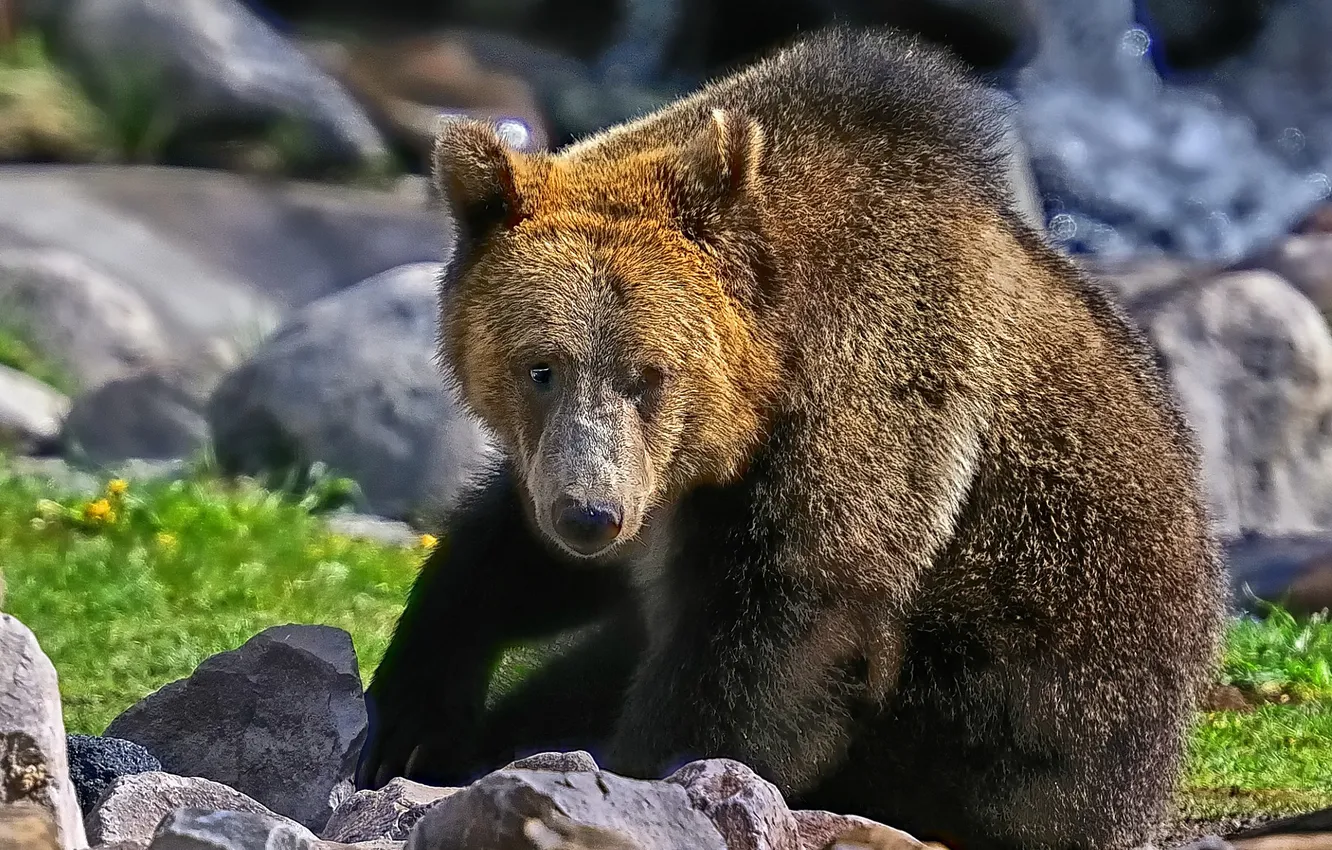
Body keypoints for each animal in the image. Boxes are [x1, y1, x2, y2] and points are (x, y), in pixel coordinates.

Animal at [354, 25, 1228, 850]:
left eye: (650, 374)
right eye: (541, 366)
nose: (589, 516)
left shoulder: (868, 426)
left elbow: (767, 652)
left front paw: (645, 776)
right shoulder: (638, 480)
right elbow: (507, 556)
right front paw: (408, 718)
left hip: (1023, 698)